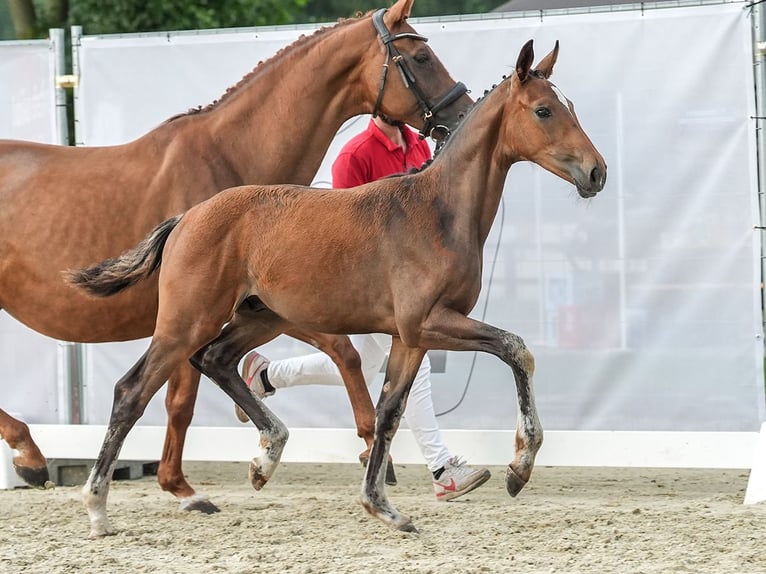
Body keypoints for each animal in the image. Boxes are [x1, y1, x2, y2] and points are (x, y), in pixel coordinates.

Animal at [0, 0, 472, 512]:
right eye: (421, 58)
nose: (463, 113)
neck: (228, 159)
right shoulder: (209, 314)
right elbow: (181, 402)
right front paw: (182, 488)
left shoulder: (272, 304)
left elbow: (342, 356)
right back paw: (29, 455)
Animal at [69, 38, 608, 536]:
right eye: (543, 110)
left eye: (570, 106)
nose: (596, 172)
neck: (437, 211)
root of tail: (186, 217)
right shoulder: (429, 323)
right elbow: (517, 349)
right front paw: (520, 466)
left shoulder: (410, 336)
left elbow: (390, 411)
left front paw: (383, 507)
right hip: (186, 321)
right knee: (132, 391)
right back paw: (97, 509)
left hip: (260, 317)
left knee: (217, 360)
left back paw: (266, 456)